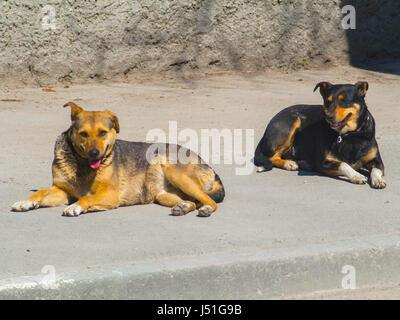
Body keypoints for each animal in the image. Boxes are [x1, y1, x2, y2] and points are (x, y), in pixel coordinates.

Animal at [10, 102, 225, 218]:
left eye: (103, 132)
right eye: (84, 134)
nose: (94, 153)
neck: (82, 165)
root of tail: (210, 167)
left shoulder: (109, 195)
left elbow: (87, 198)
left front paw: (76, 207)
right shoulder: (62, 191)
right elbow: (40, 193)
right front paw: (26, 203)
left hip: (173, 170)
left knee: (209, 202)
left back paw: (206, 209)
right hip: (163, 194)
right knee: (192, 201)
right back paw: (183, 207)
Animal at [255, 81, 386, 189]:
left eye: (344, 101)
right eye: (328, 101)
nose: (329, 117)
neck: (349, 135)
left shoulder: (377, 161)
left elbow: (376, 170)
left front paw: (378, 180)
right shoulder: (323, 162)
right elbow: (344, 164)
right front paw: (356, 175)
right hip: (293, 120)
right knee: (271, 157)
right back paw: (289, 163)